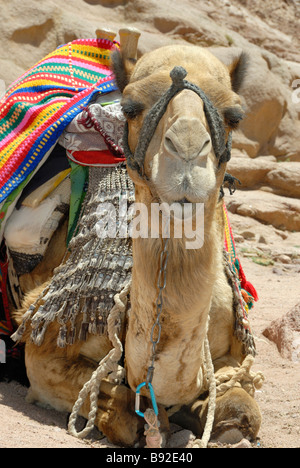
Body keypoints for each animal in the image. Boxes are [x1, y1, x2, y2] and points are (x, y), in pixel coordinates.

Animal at [9, 29, 262, 446]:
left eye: (235, 116)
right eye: (130, 108)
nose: (187, 151)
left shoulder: (233, 353)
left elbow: (242, 410)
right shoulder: (44, 346)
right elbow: (121, 413)